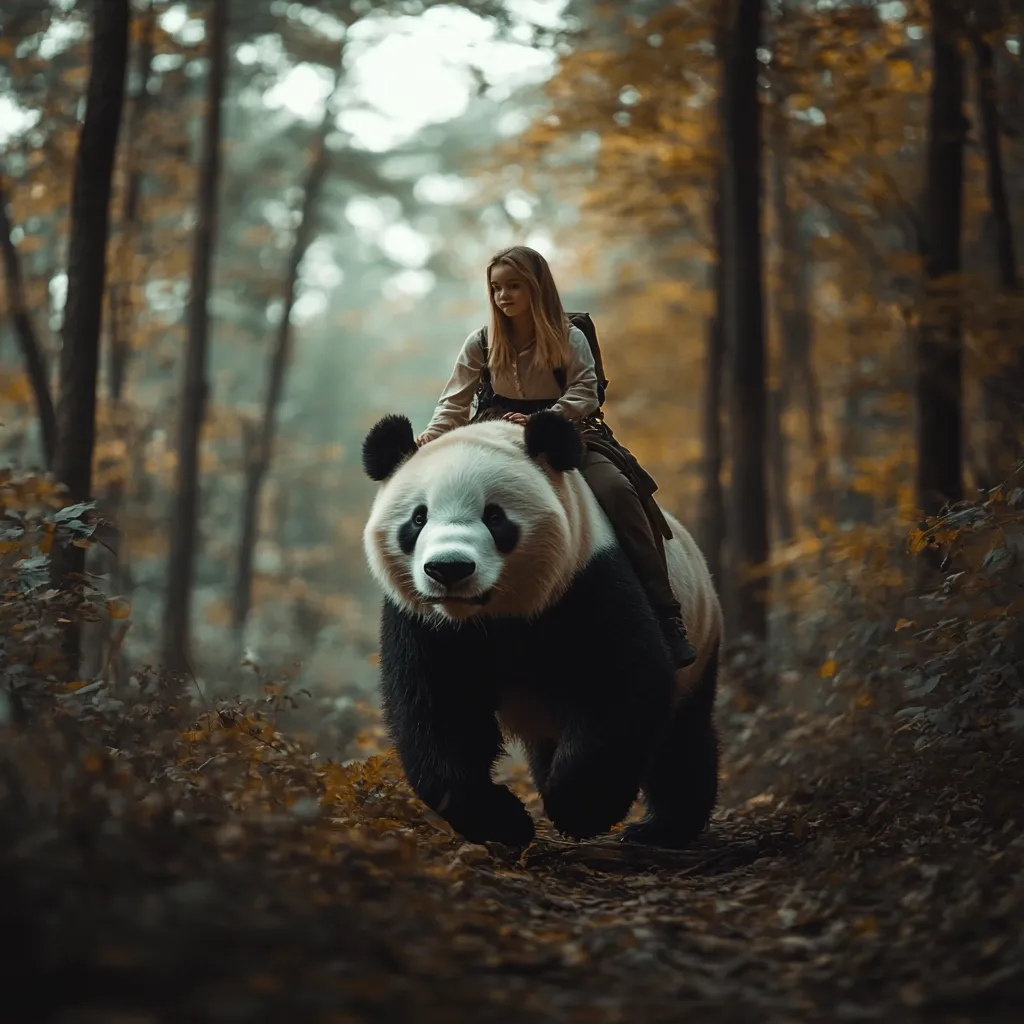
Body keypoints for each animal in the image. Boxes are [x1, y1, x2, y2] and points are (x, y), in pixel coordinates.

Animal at [361, 410, 723, 849]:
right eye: (418, 518)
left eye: (495, 516)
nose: (449, 569)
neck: (487, 614)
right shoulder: (425, 622)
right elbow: (440, 713)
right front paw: (504, 821)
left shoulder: (585, 576)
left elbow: (620, 684)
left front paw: (578, 809)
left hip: (700, 632)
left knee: (681, 736)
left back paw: (662, 827)